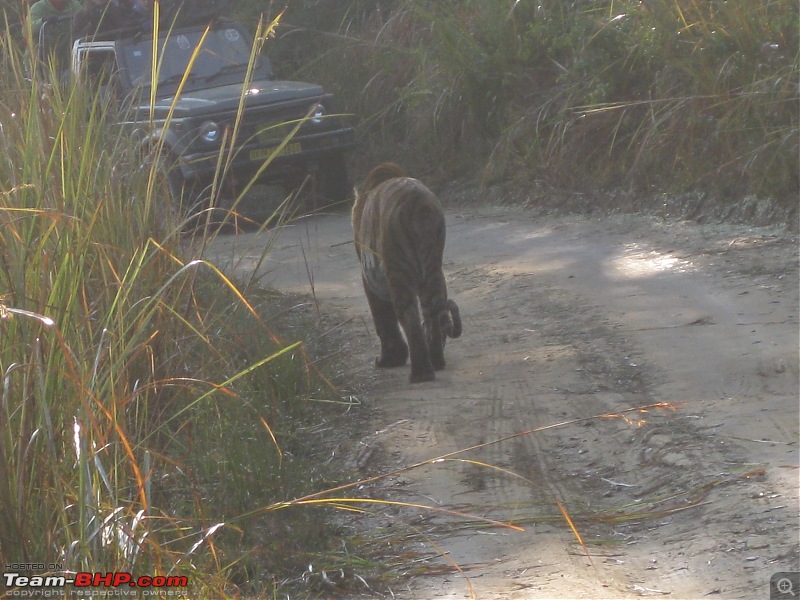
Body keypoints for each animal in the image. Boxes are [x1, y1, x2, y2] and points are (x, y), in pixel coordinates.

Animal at [352, 162, 462, 382]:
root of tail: (419, 203)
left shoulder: (369, 280)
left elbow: (383, 318)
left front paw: (389, 359)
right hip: (432, 271)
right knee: (431, 314)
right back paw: (436, 361)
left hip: (399, 272)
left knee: (410, 318)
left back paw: (421, 373)